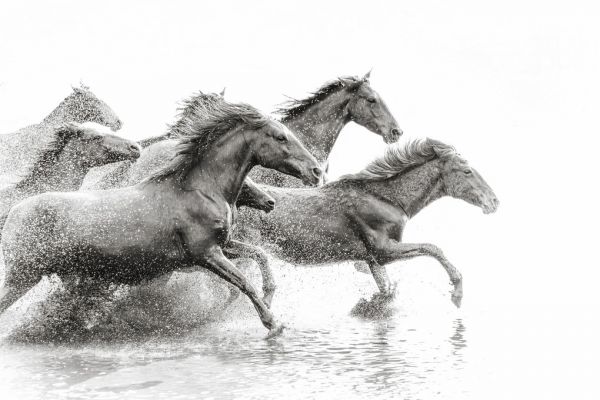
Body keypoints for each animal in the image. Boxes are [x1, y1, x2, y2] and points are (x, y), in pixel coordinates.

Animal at [1, 99, 324, 334]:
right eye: (281, 137)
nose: (317, 171)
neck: (200, 189)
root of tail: (14, 213)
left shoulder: (223, 246)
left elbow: (259, 255)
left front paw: (270, 297)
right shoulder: (206, 254)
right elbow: (243, 281)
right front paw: (273, 324)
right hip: (23, 275)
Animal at [243, 139, 496, 308]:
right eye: (467, 170)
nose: (494, 201)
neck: (386, 199)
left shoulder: (373, 259)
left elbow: (387, 290)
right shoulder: (383, 251)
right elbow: (432, 248)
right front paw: (457, 291)